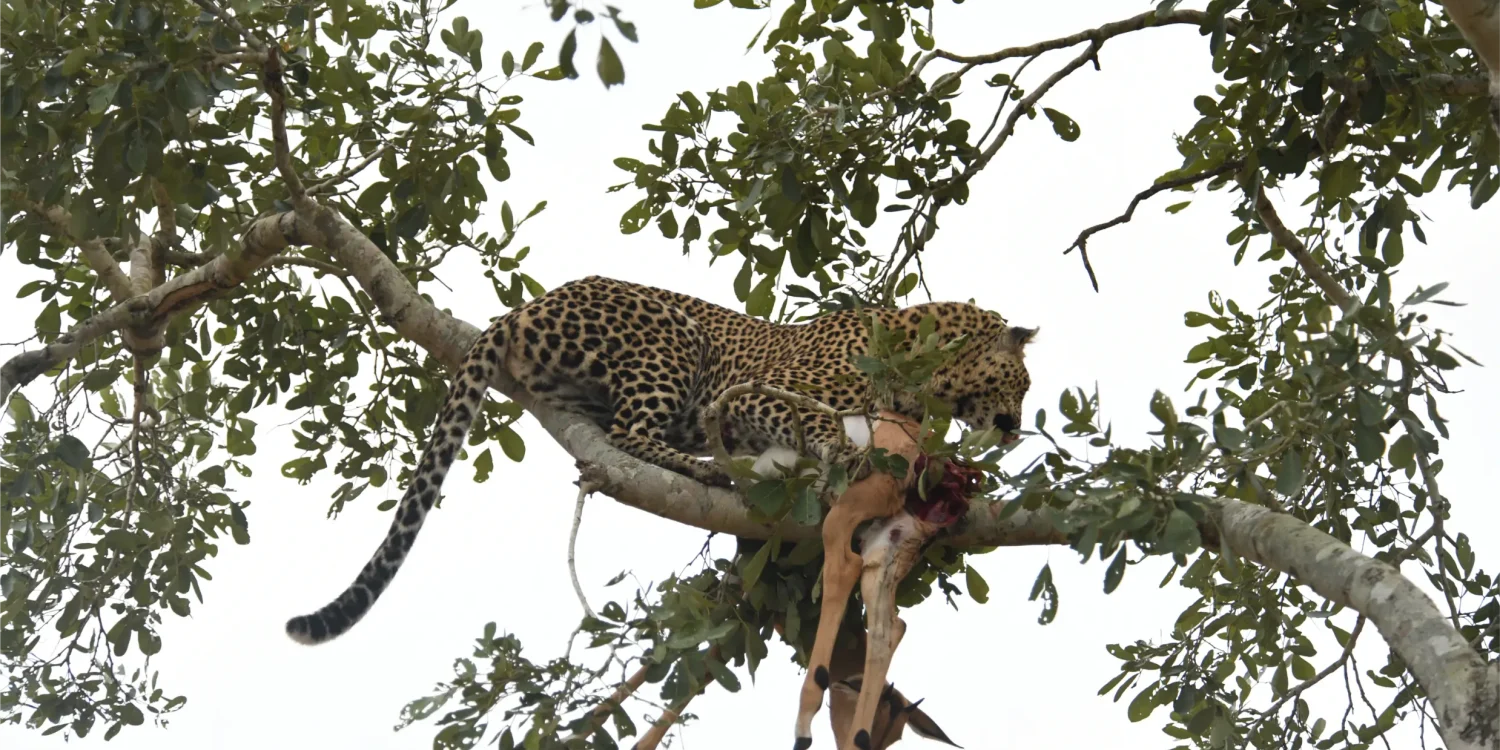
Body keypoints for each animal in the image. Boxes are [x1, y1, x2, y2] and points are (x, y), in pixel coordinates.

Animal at [285, 275, 1036, 645]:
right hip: (674, 340)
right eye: (1024, 384)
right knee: (628, 431)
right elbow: (820, 424)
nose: (1020, 429)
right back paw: (698, 468)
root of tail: (527, 306)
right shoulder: (752, 397)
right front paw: (849, 461)